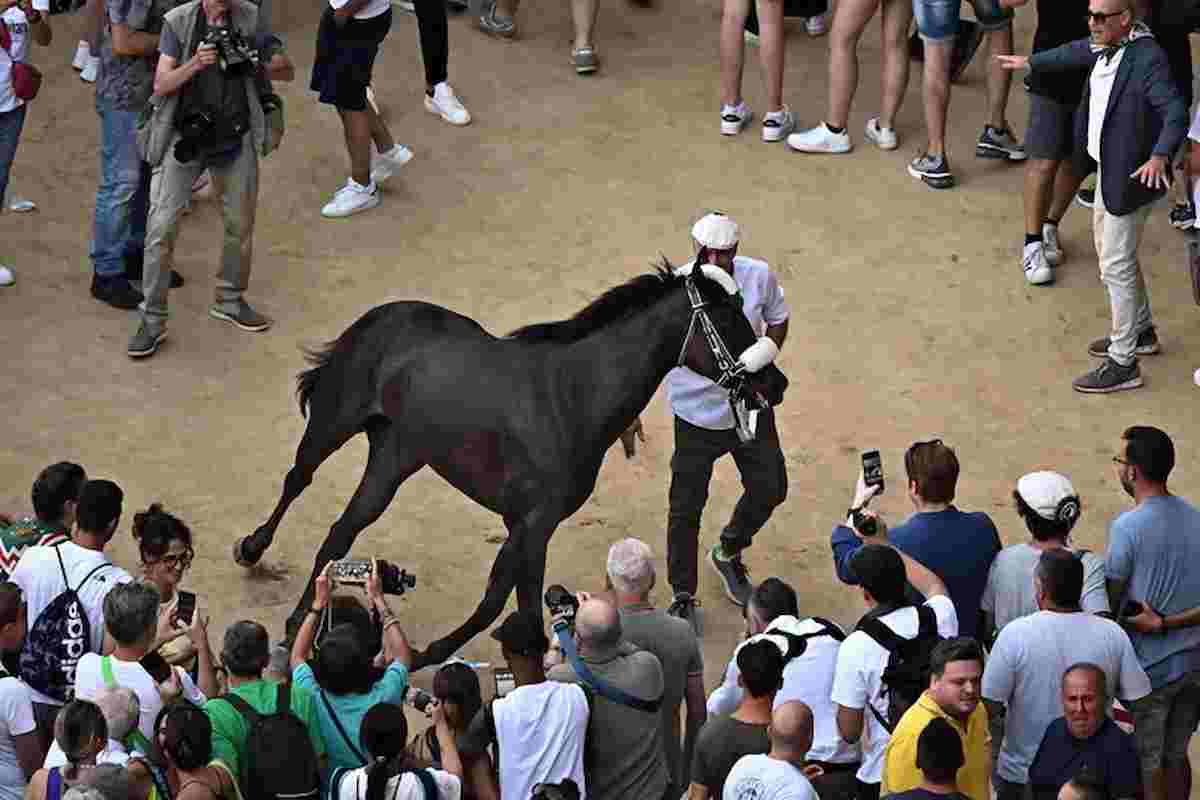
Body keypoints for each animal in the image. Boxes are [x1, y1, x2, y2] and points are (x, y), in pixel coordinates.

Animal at [238, 260, 792, 666]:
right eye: (727, 321)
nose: (777, 384)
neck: (572, 397)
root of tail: (383, 315)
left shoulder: (531, 525)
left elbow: (511, 599)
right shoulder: (531, 521)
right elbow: (498, 602)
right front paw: (425, 654)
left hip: (395, 458)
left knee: (341, 531)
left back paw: (294, 626)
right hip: (334, 422)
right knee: (298, 479)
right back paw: (254, 552)